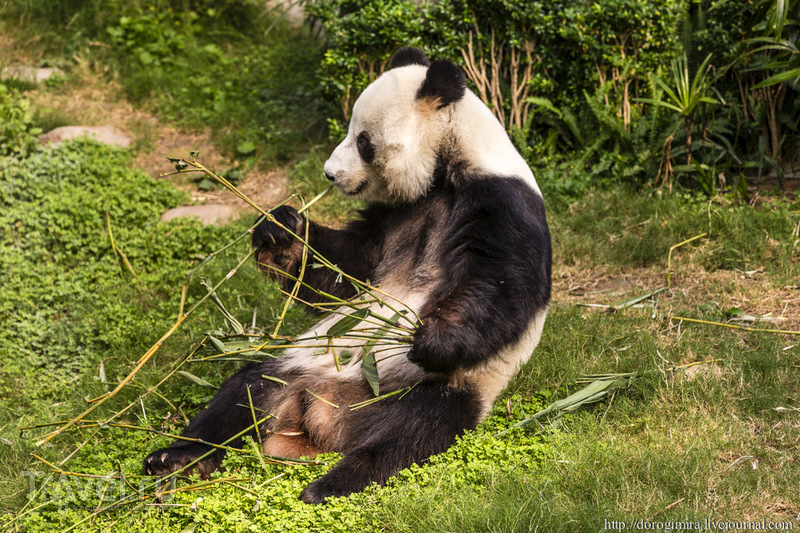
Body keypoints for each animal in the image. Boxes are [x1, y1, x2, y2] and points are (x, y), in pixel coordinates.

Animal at [145, 45, 552, 502]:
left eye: (363, 141)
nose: (329, 173)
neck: (446, 169)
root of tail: (320, 419)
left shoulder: (501, 202)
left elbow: (504, 286)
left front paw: (430, 338)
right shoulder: (395, 214)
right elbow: (345, 270)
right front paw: (280, 230)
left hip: (442, 388)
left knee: (410, 431)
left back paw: (330, 484)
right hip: (294, 367)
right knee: (241, 395)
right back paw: (175, 458)